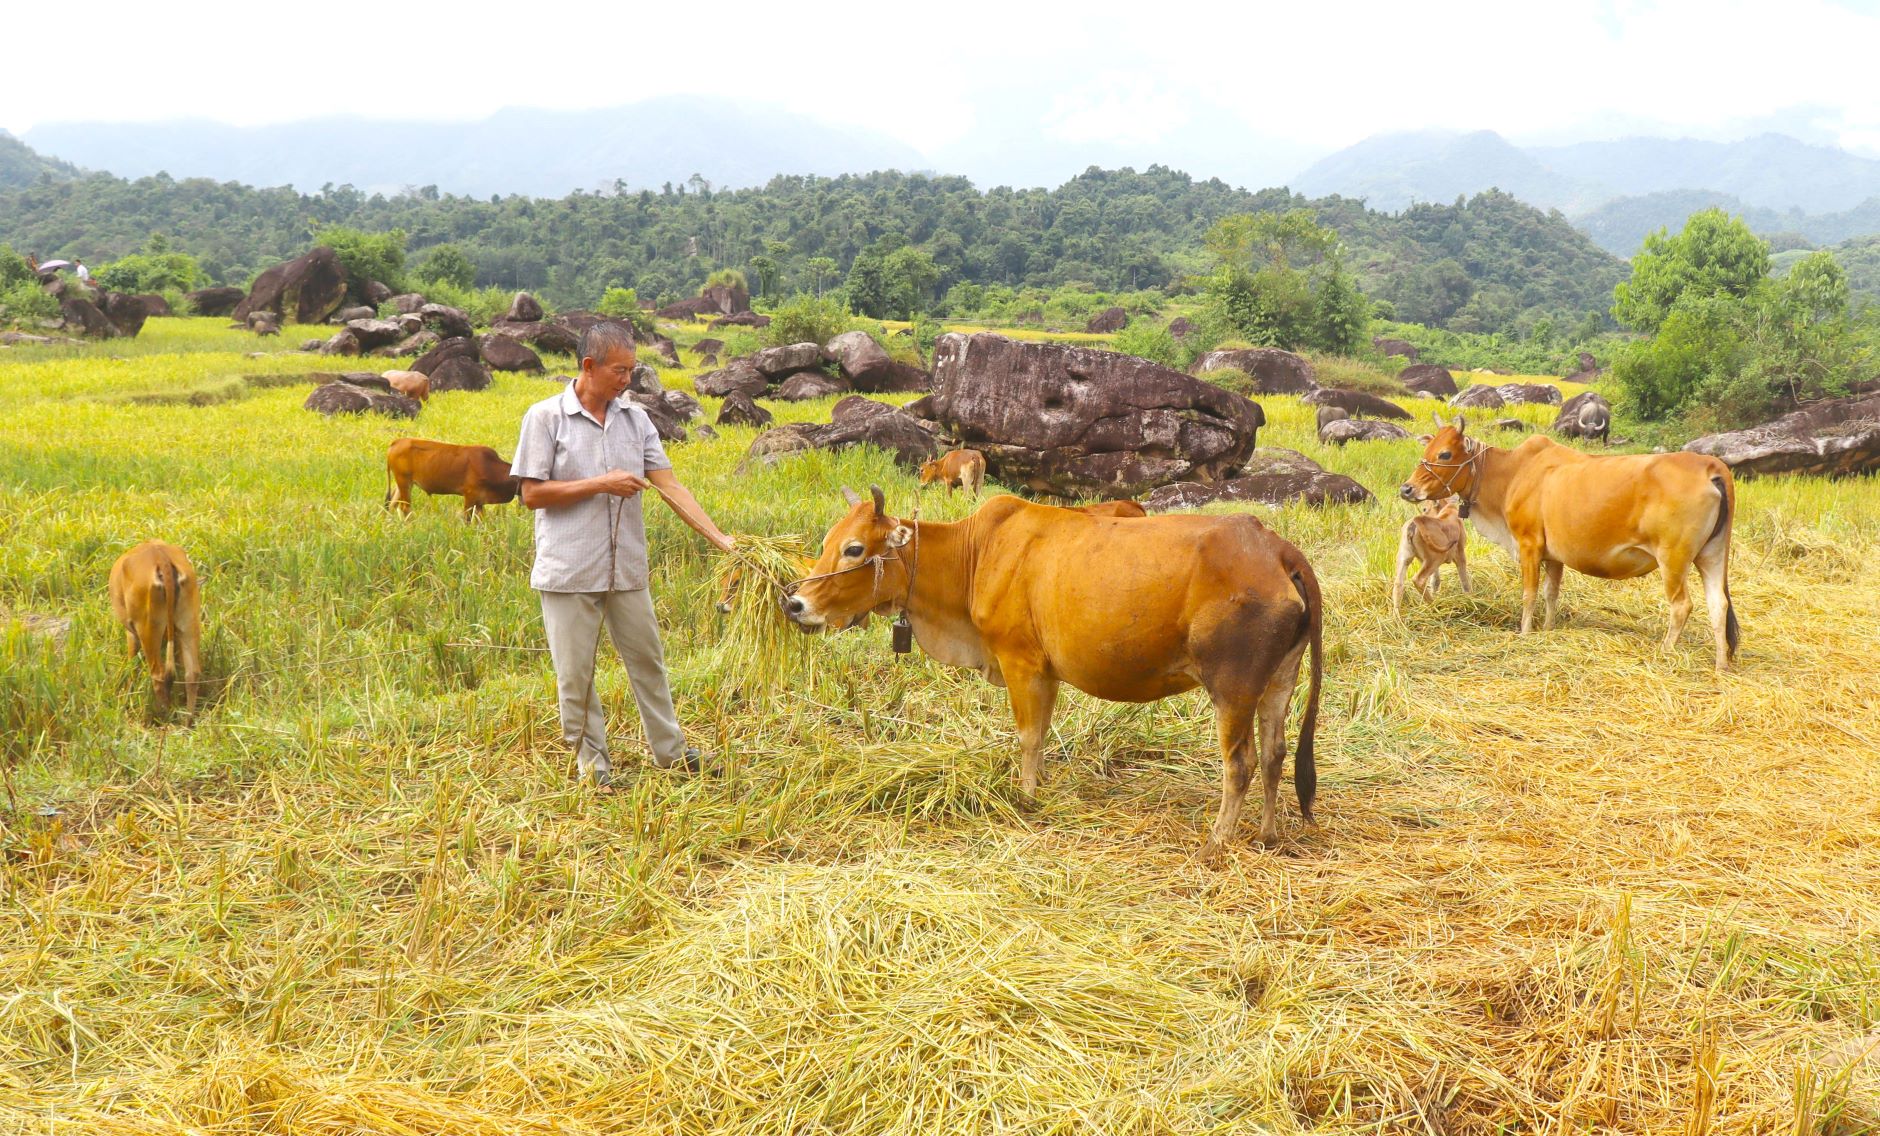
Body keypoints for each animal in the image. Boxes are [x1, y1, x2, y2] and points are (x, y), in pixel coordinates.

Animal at [107, 541, 203, 718]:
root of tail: (161, 557)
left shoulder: (131, 633)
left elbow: (132, 665)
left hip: (147, 629)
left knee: (158, 674)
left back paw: (162, 716)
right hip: (189, 622)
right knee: (192, 673)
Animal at [385, 436, 522, 522]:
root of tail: (397, 441)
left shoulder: (480, 502)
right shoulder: (470, 496)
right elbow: (467, 519)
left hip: (402, 484)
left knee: (392, 505)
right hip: (404, 482)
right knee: (405, 508)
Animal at [778, 489, 1323, 861]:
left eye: (854, 549)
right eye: (826, 543)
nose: (794, 604)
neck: (974, 554)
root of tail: (1276, 548)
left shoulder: (1020, 662)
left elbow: (1028, 735)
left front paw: (1025, 798)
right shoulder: (1048, 672)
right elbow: (1041, 733)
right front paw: (1039, 785)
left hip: (1232, 687)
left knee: (1241, 763)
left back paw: (1216, 843)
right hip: (1280, 678)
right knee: (1274, 753)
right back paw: (1268, 835)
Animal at [1406, 415, 1737, 665]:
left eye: (1445, 454)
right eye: (1429, 448)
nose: (1406, 489)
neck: (1511, 473)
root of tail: (1710, 466)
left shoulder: (1529, 545)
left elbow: (1529, 594)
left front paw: (1525, 633)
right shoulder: (1554, 556)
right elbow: (1551, 594)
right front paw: (1548, 629)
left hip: (1673, 558)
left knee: (1681, 605)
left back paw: (1666, 651)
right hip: (1712, 555)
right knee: (1718, 604)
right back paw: (1721, 664)